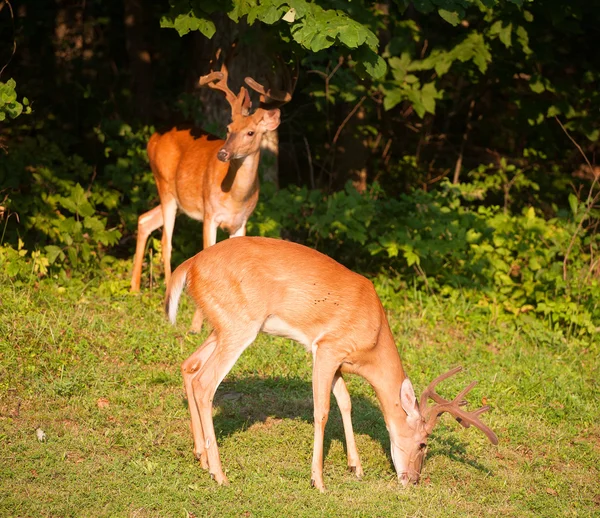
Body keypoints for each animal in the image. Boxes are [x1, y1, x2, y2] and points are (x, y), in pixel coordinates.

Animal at [130, 48, 294, 294]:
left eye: (250, 132)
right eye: (228, 128)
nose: (223, 153)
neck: (235, 196)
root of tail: (153, 138)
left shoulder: (241, 221)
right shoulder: (210, 214)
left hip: (179, 199)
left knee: (144, 219)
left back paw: (134, 287)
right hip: (164, 185)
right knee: (166, 242)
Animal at [164, 238, 496, 494]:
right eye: (424, 443)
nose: (413, 480)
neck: (372, 341)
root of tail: (189, 266)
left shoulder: (335, 358)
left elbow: (346, 402)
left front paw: (356, 467)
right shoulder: (326, 347)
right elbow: (322, 411)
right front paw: (318, 481)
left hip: (222, 325)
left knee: (189, 365)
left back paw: (201, 456)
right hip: (239, 324)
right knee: (205, 382)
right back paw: (219, 474)